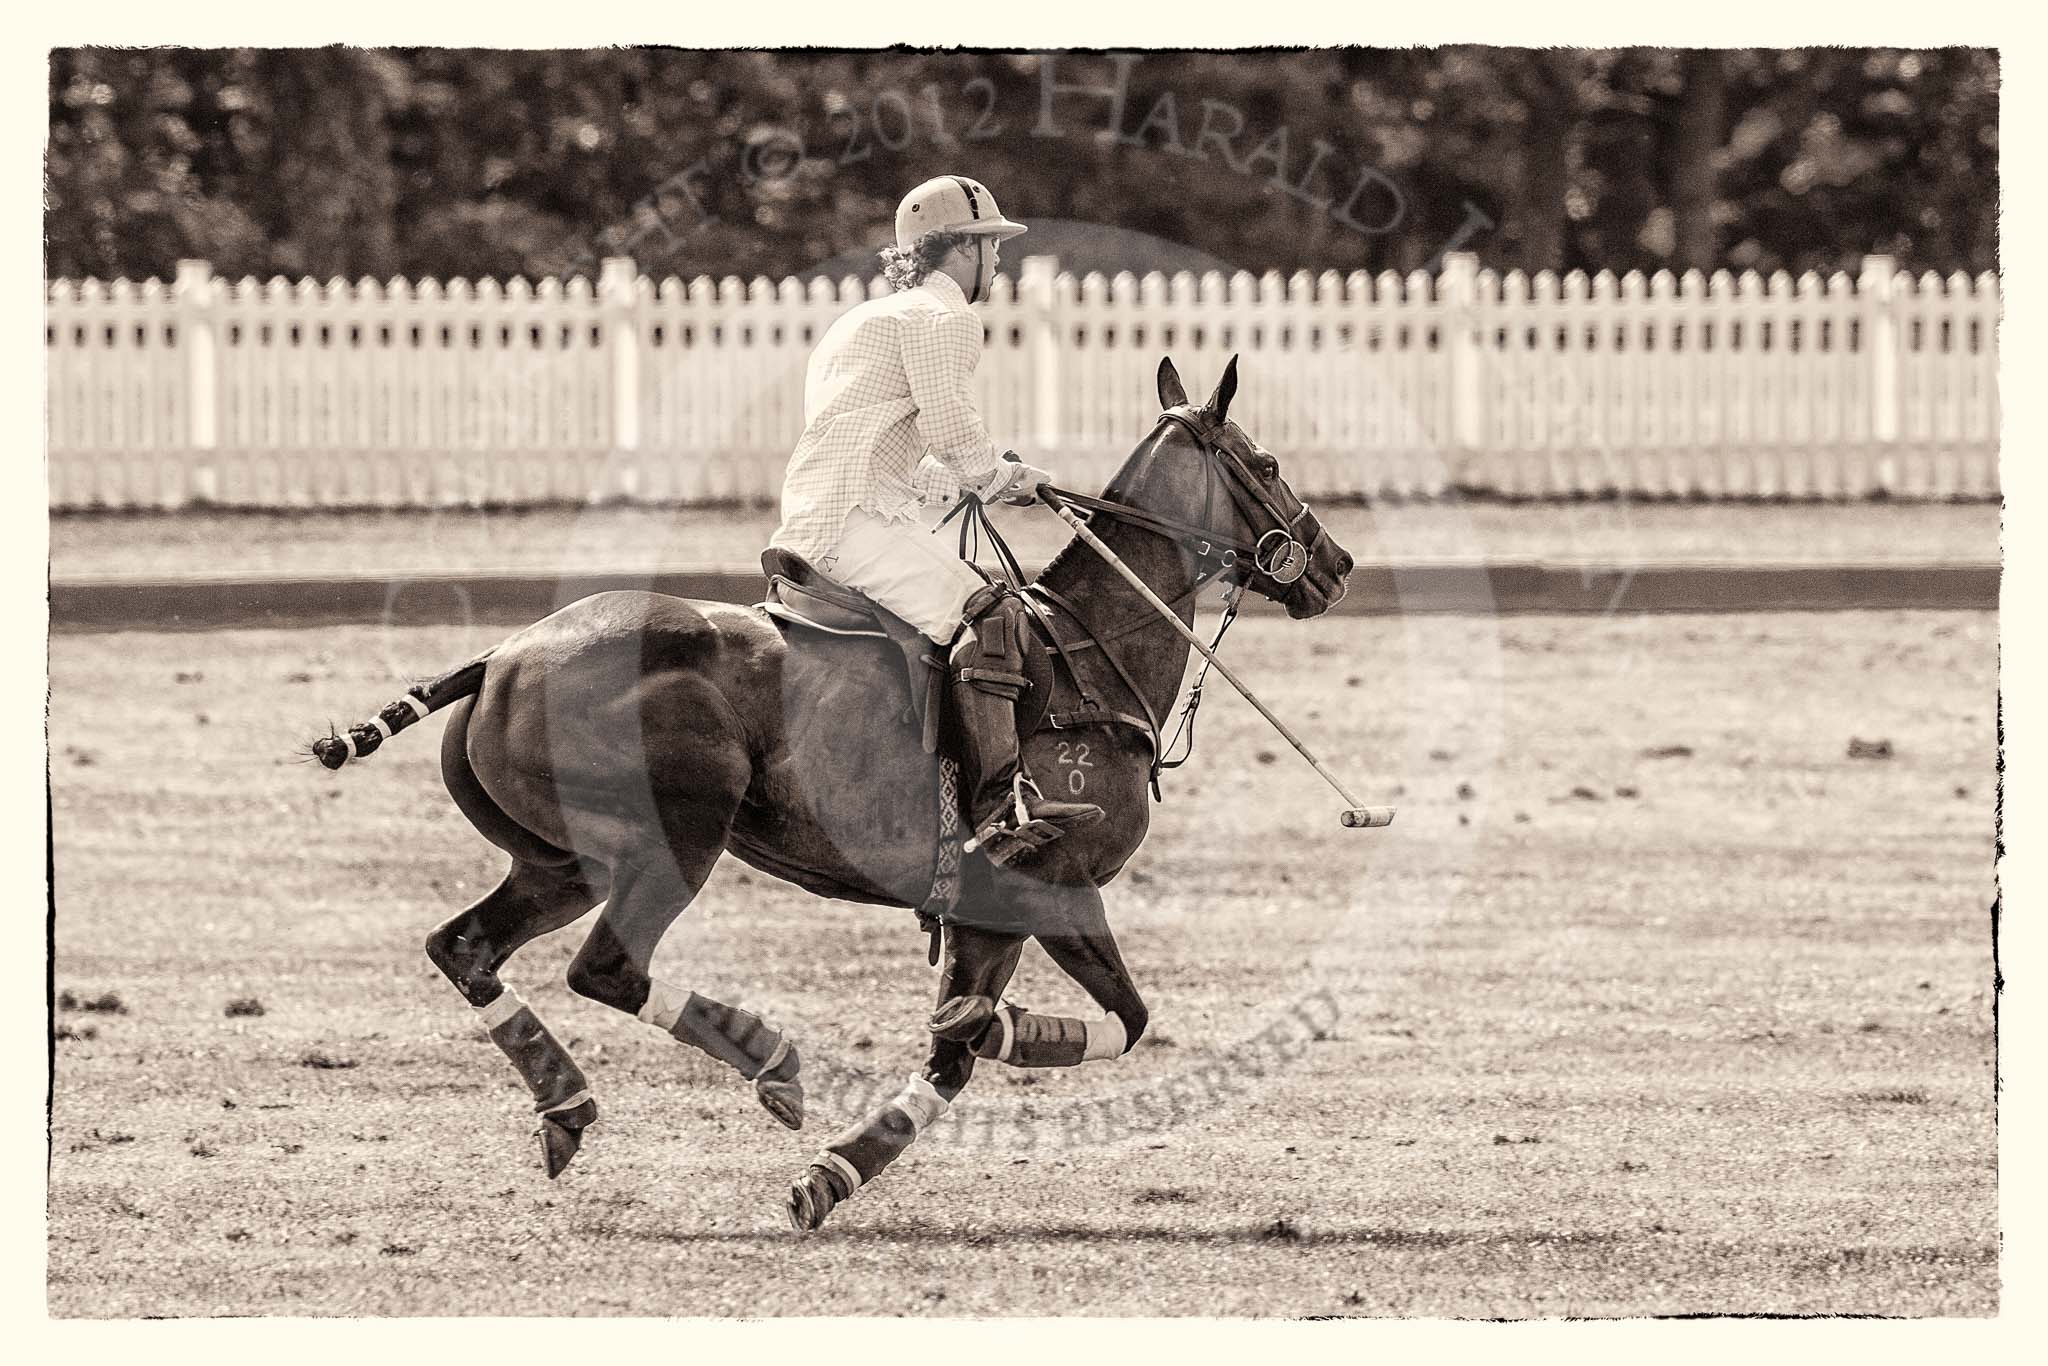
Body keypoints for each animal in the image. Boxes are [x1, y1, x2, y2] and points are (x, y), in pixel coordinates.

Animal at [311, 358, 1351, 1236]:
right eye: (1265, 460)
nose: (1334, 565)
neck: (1088, 654)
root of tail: (500, 657)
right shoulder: (1045, 885)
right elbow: (1113, 1023)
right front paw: (987, 1028)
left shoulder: (985, 908)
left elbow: (957, 1059)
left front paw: (833, 1175)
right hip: (676, 837)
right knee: (604, 966)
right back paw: (768, 1057)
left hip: (563, 859)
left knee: (466, 946)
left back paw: (567, 1103)